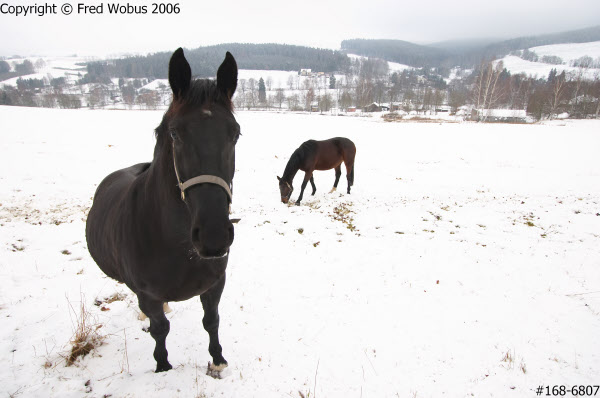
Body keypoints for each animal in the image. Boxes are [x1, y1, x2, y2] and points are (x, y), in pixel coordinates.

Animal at [86, 48, 239, 374]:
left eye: (235, 134)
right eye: (175, 134)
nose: (214, 236)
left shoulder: (215, 284)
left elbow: (212, 321)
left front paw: (218, 359)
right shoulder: (148, 295)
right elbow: (160, 329)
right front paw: (163, 366)